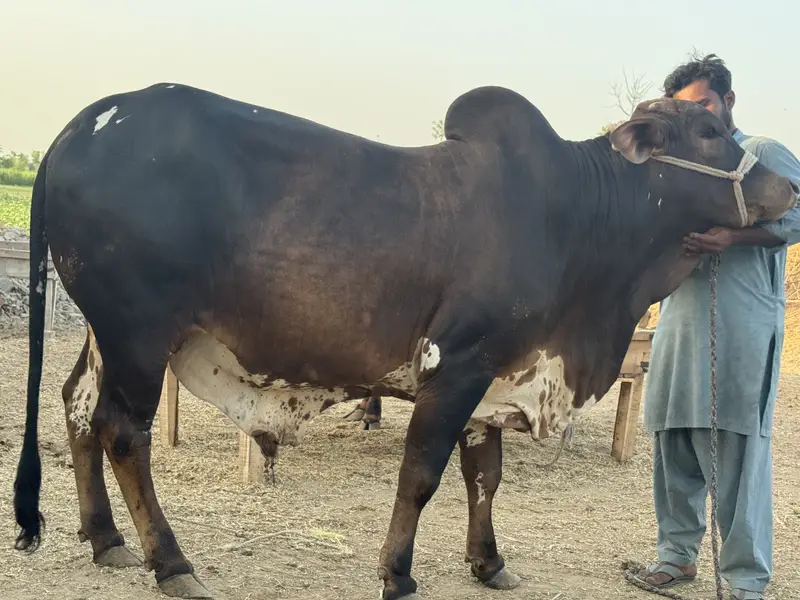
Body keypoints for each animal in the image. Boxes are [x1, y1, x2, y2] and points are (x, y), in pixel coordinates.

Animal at [11, 83, 798, 600]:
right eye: (708, 134)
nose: (786, 187)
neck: (581, 219)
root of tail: (77, 129)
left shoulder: (498, 378)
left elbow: (485, 478)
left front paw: (489, 563)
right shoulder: (458, 366)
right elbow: (421, 477)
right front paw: (397, 572)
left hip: (108, 336)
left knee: (77, 406)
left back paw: (106, 540)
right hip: (141, 335)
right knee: (122, 433)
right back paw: (170, 563)